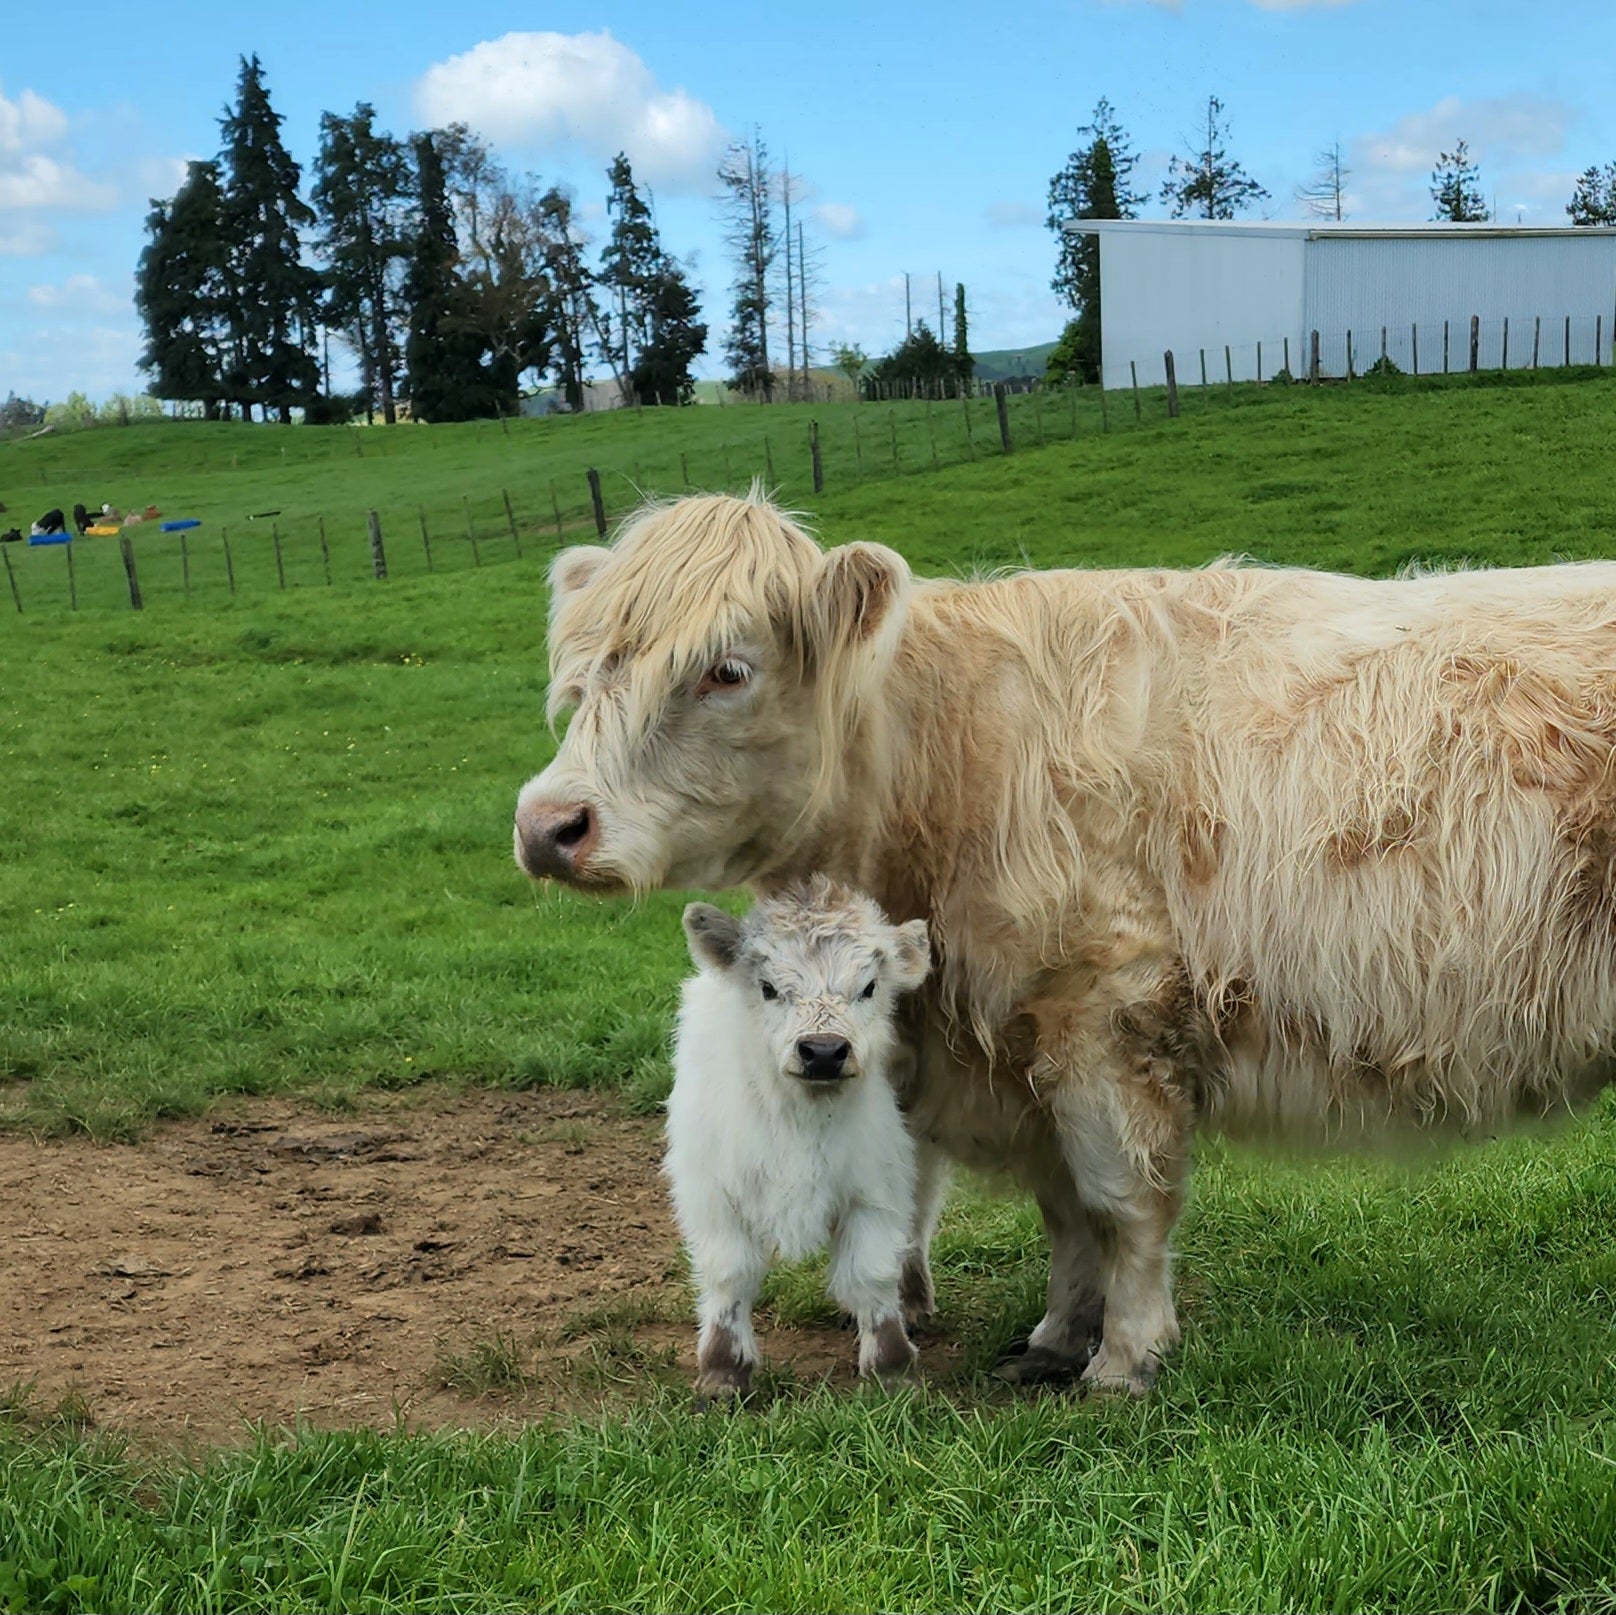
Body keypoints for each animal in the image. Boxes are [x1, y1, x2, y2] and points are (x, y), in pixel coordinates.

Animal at [659, 879, 937, 1396]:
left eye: (869, 987)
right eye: (768, 987)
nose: (823, 1052)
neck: (803, 1121)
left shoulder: (876, 1188)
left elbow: (872, 1270)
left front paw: (891, 1369)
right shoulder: (713, 1194)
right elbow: (730, 1275)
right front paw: (722, 1372)